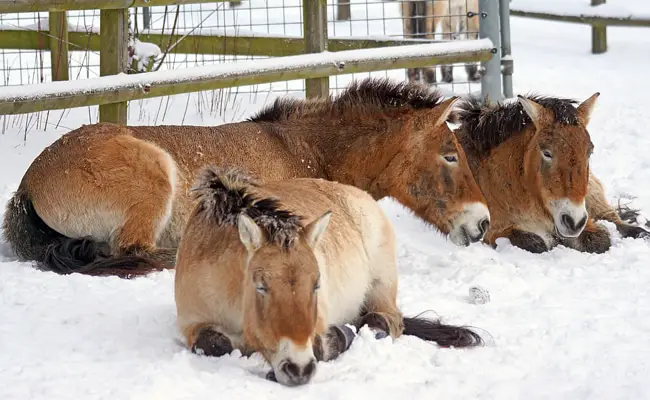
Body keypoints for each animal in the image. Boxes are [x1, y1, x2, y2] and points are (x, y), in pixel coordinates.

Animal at [1, 77, 486, 278]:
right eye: (450, 156)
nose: (482, 222)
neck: (303, 150)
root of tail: (28, 184)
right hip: (155, 178)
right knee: (136, 253)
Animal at [172, 166, 480, 388]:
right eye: (261, 286)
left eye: (317, 284)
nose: (298, 369)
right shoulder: (193, 323)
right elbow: (214, 344)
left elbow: (321, 345)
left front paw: (339, 336)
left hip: (381, 284)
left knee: (385, 320)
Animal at [454, 93, 644, 253]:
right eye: (547, 153)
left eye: (589, 152)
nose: (574, 222)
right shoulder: (492, 231)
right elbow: (536, 243)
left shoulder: (584, 222)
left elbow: (600, 240)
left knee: (614, 219)